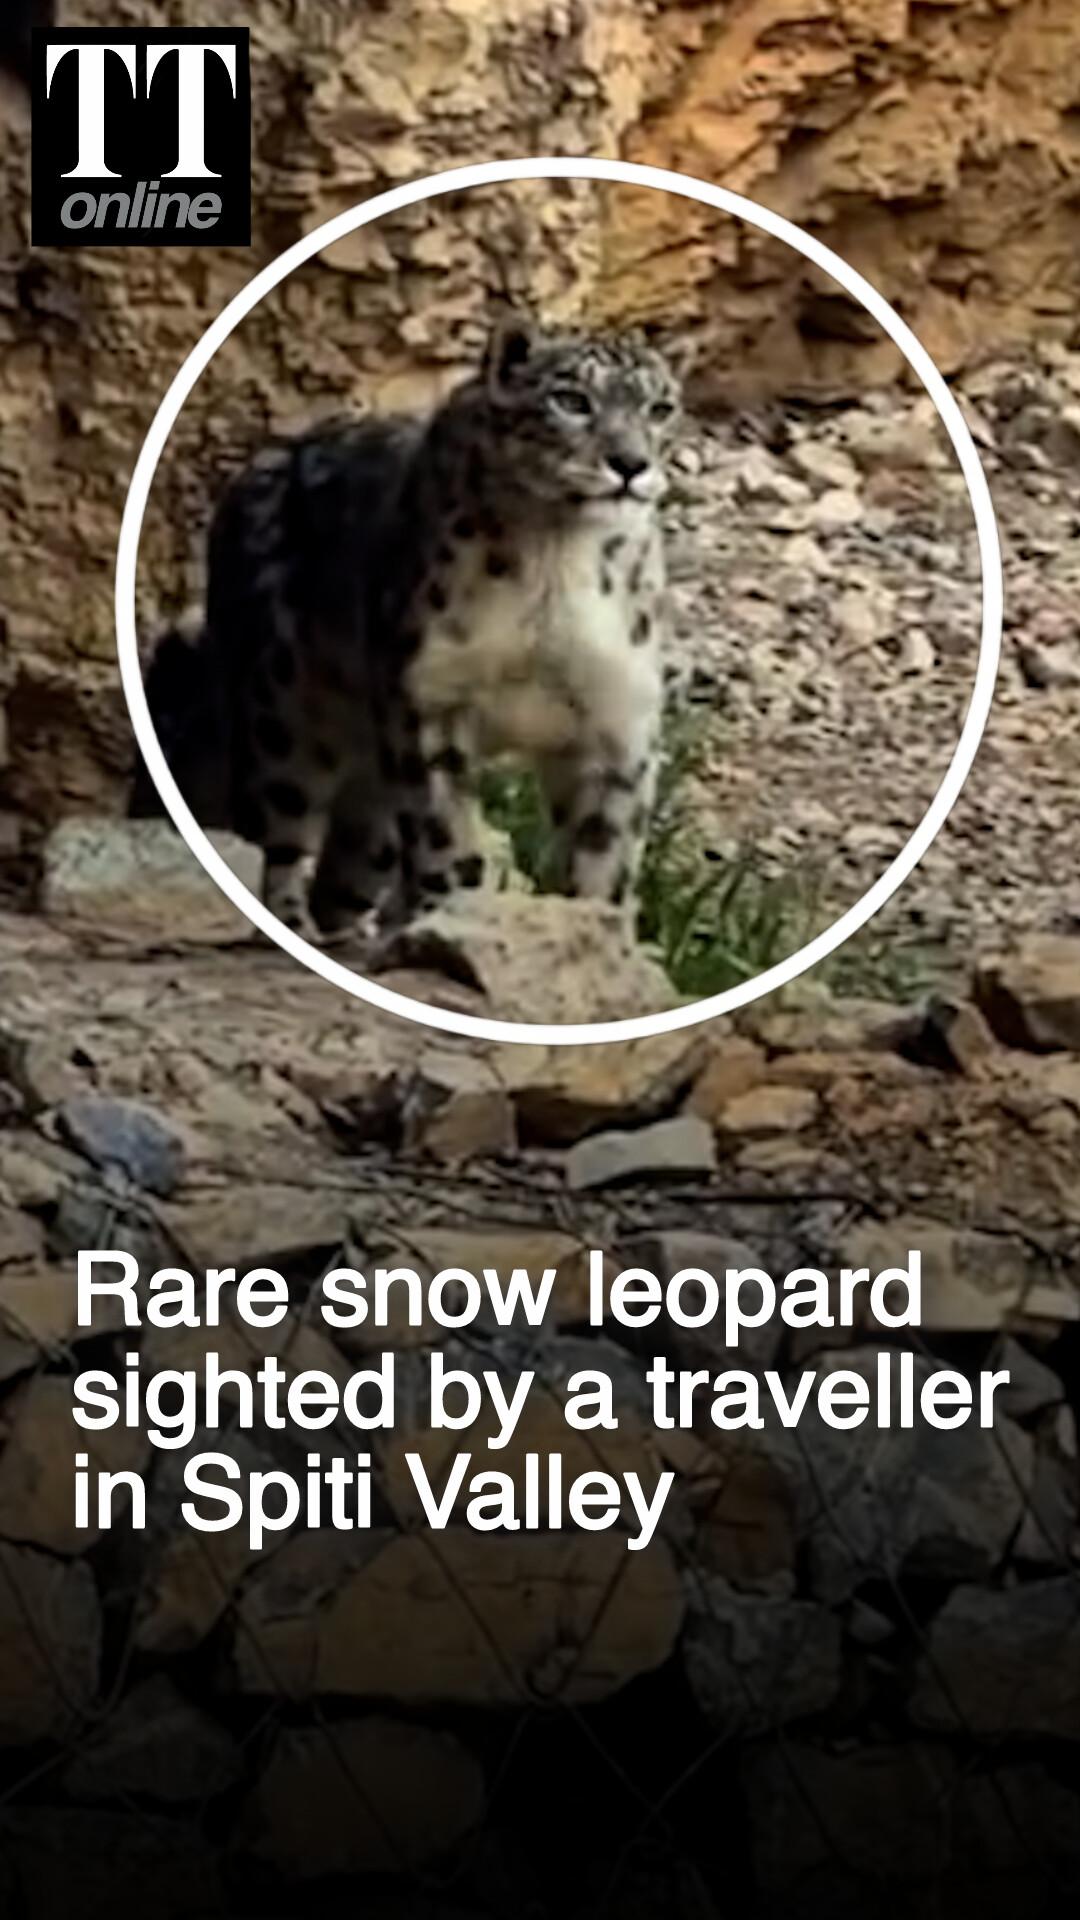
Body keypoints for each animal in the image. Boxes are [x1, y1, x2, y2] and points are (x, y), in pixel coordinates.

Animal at [142, 316, 683, 945]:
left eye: (661, 407)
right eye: (570, 399)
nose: (630, 464)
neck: (556, 557)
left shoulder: (615, 717)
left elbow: (605, 851)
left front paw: (600, 932)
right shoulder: (432, 700)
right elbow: (445, 836)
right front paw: (457, 915)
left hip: (369, 793)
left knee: (349, 869)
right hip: (282, 714)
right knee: (283, 839)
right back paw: (299, 926)